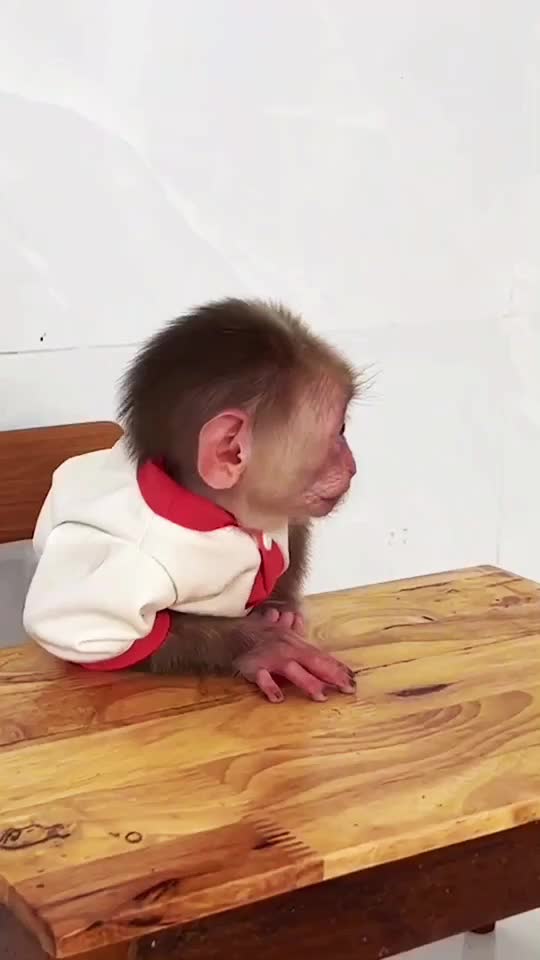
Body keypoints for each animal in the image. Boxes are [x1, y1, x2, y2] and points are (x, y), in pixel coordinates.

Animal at [23, 299, 359, 703]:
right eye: (340, 431)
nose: (352, 465)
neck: (216, 510)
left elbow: (292, 527)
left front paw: (279, 607)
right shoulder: (127, 560)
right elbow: (104, 637)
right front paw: (264, 645)